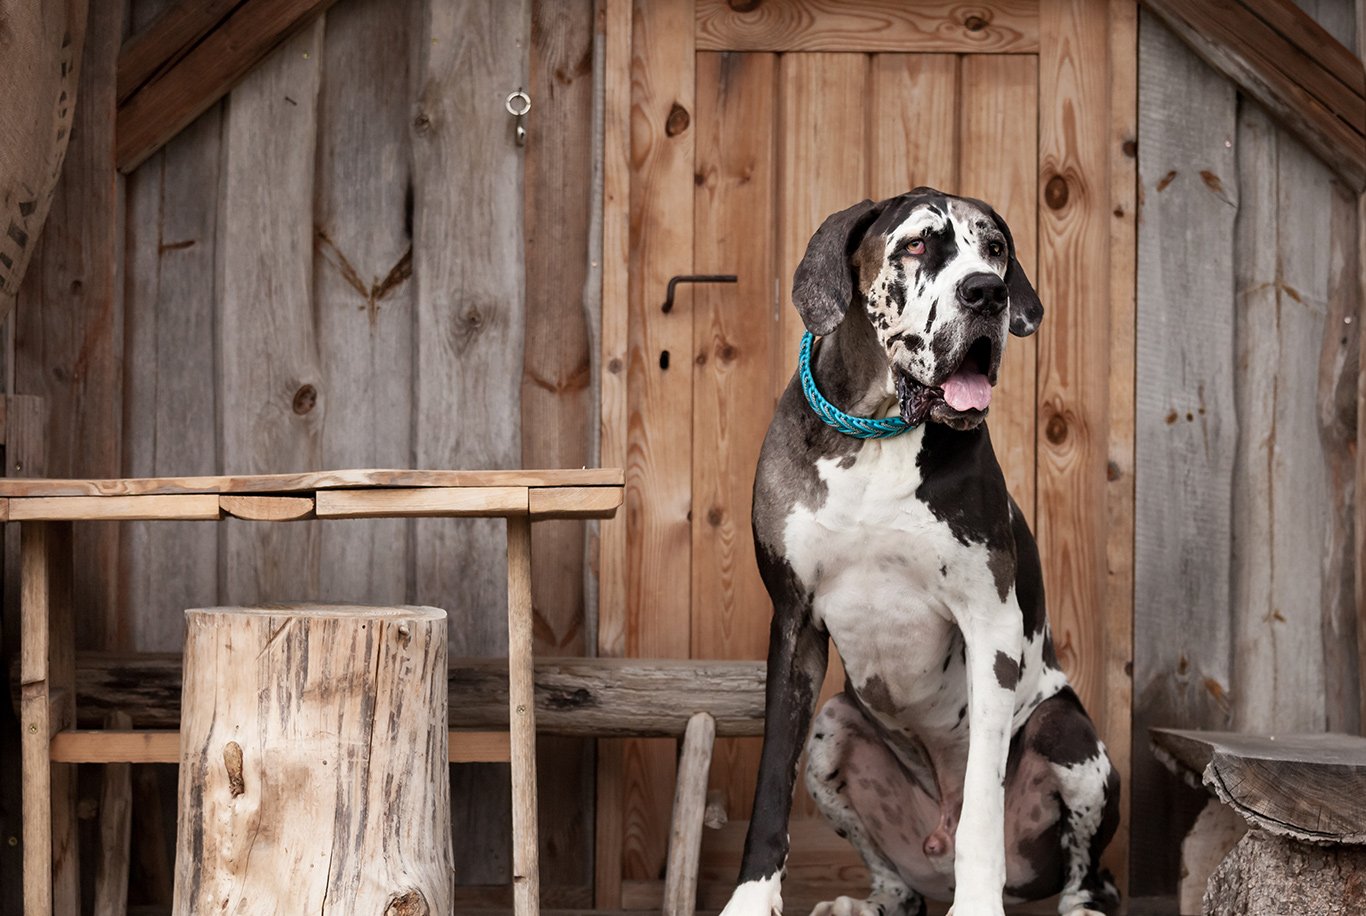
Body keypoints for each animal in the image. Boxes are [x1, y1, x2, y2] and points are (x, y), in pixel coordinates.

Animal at [721, 188, 1114, 916]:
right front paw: (751, 901)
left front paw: (979, 905)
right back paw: (867, 902)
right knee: (898, 883)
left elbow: (983, 801)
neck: (875, 432)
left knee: (1088, 872)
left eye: (995, 248)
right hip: (835, 729)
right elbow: (769, 786)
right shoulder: (793, 622)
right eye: (917, 245)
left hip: (1066, 735)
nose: (987, 292)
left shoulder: (990, 626)